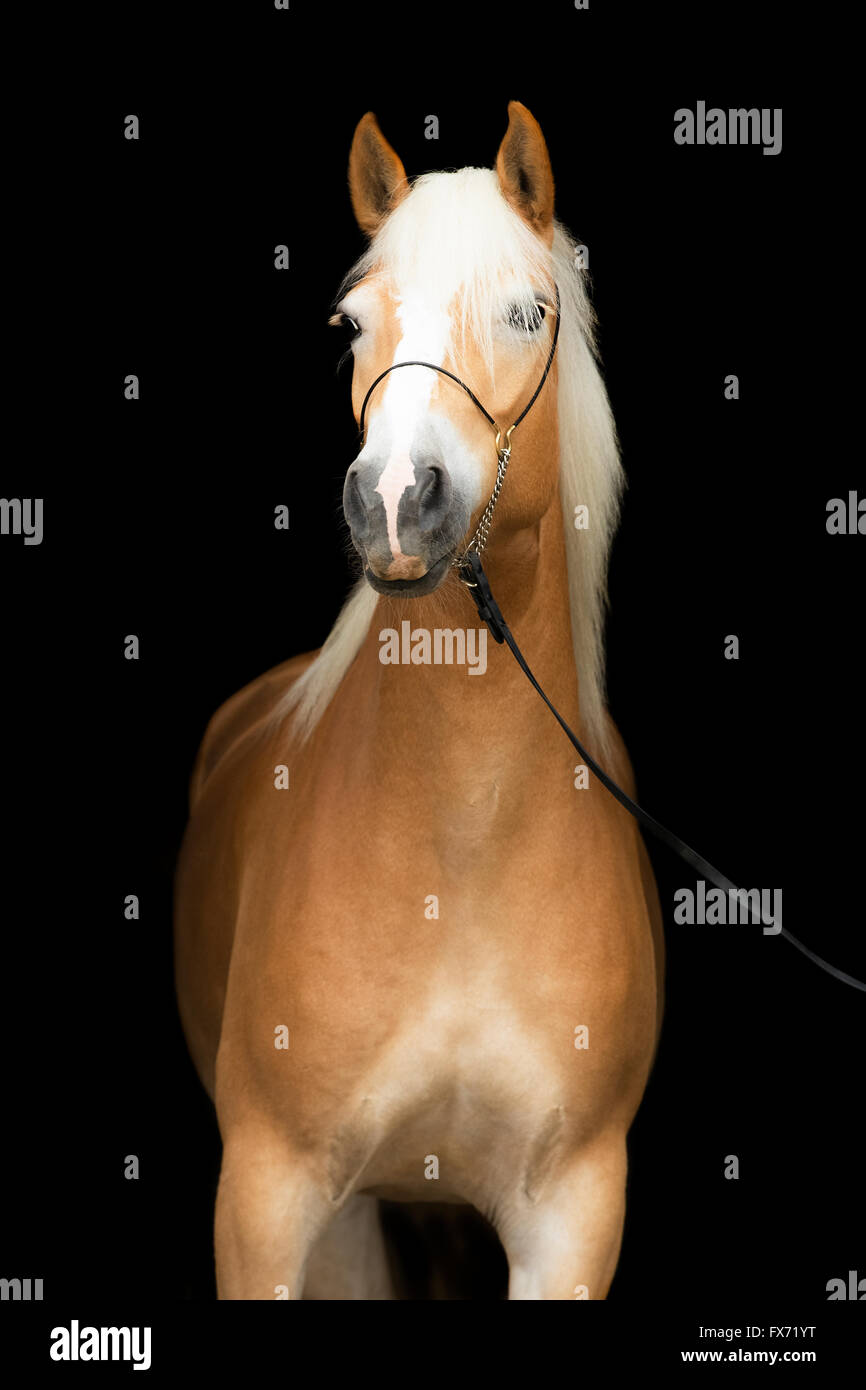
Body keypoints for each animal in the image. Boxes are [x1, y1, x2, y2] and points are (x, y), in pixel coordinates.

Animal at [174, 102, 664, 1295]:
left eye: (526, 311)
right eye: (351, 322)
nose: (397, 499)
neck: (461, 852)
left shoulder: (574, 1213)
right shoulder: (270, 1197)